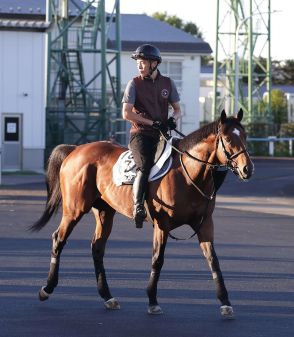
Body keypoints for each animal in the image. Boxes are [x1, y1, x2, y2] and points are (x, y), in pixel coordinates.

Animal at [31, 109, 254, 318]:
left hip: (104, 212)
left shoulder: (205, 224)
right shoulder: (162, 225)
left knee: (97, 248)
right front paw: (152, 300)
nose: (247, 169)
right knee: (58, 239)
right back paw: (47, 288)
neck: (188, 175)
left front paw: (225, 302)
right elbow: (158, 259)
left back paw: (107, 296)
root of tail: (75, 149)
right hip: (74, 210)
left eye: (244, 136)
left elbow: (213, 261)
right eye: (227, 139)